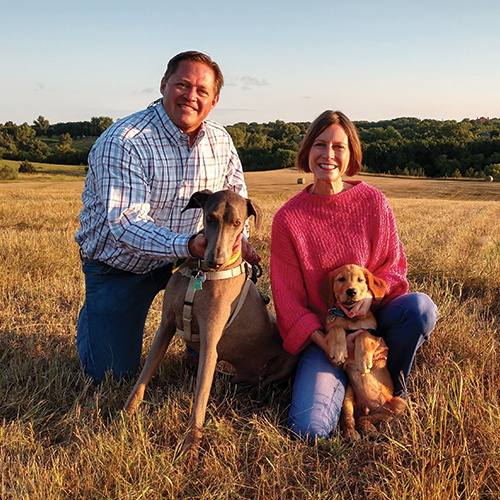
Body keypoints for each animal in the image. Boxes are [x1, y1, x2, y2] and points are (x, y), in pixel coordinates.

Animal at [320, 264, 406, 440]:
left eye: (360, 280)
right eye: (341, 279)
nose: (351, 291)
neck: (350, 318)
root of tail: (366, 409)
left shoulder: (379, 341)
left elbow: (363, 334)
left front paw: (363, 361)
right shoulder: (331, 353)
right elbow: (336, 328)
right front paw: (339, 350)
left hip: (399, 404)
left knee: (370, 418)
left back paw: (369, 429)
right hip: (347, 396)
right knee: (350, 418)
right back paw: (353, 433)